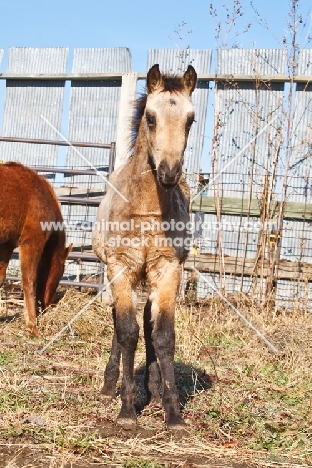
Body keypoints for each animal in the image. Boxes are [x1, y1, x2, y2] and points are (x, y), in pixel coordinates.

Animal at [0, 163, 71, 334]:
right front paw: (33, 326)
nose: (46, 306)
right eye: (60, 273)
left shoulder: (7, 245)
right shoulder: (31, 243)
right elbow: (29, 281)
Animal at [92, 64, 197, 430]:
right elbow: (127, 331)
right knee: (120, 323)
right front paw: (126, 410)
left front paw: (174, 413)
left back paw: (152, 387)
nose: (168, 173)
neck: (148, 210)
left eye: (191, 119)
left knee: (150, 325)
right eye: (150, 117)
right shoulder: (120, 266)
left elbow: (163, 335)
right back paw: (109, 386)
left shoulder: (168, 269)